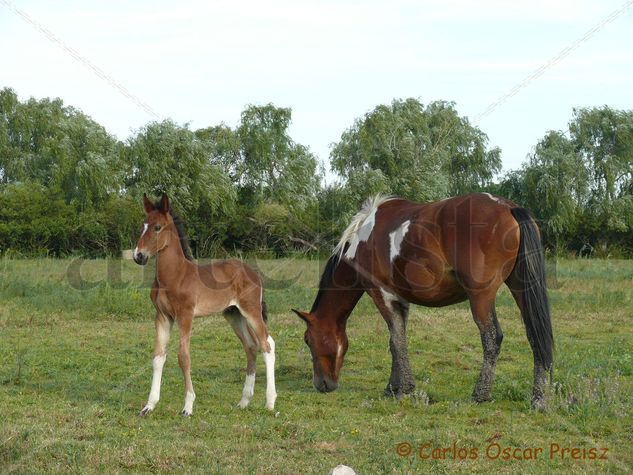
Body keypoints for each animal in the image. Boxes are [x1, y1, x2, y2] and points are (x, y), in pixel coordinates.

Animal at [135, 194, 276, 416]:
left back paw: (270, 402)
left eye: (157, 227)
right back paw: (244, 401)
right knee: (251, 346)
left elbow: (183, 357)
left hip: (251, 311)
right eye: (143, 225)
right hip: (233, 314)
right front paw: (149, 406)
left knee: (267, 345)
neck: (176, 275)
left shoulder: (185, 315)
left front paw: (188, 406)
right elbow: (158, 357)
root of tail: (253, 273)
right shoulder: (163, 317)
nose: (138, 256)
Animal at [292, 193, 552, 410]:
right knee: (535, 336)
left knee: (492, 338)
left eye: (307, 339)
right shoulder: (400, 300)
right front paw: (394, 387)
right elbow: (396, 340)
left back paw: (481, 395)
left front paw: (402, 389)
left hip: (481, 296)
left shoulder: (381, 294)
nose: (322, 385)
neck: (362, 239)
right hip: (520, 288)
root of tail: (508, 207)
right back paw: (538, 399)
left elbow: (396, 341)